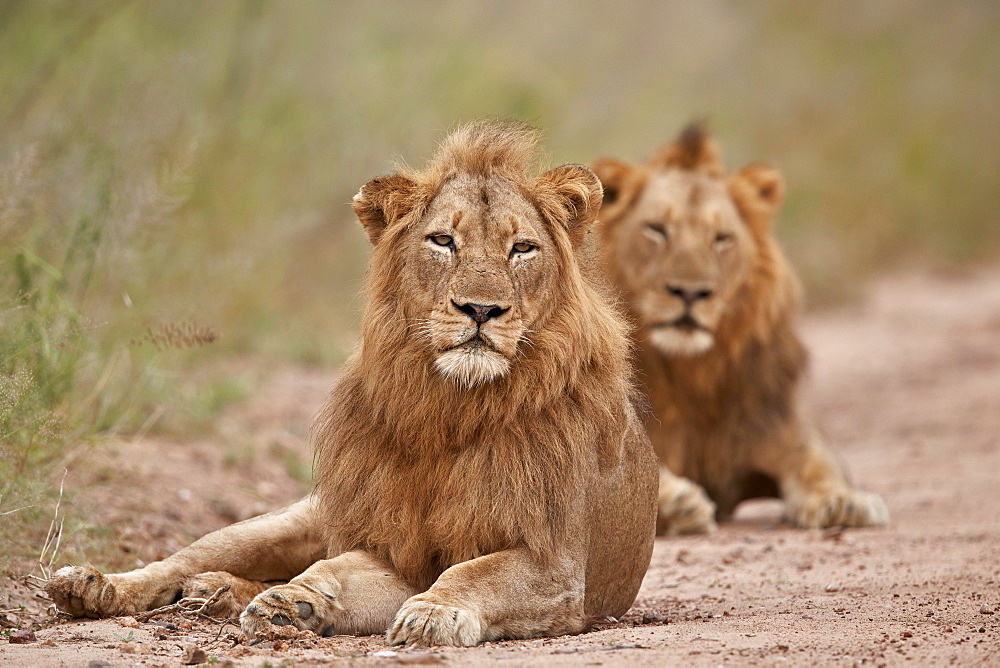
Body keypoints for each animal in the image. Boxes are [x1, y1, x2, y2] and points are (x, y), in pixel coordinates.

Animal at [47, 121, 660, 648]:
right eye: (443, 241)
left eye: (523, 248)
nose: (481, 309)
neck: (452, 405)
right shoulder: (391, 549)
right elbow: (333, 567)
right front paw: (291, 602)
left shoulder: (555, 564)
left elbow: (475, 573)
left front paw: (430, 613)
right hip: (286, 521)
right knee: (182, 560)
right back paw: (95, 586)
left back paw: (218, 593)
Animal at [588, 122, 888, 536]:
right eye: (657, 230)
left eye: (721, 238)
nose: (691, 292)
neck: (694, 375)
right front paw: (676, 505)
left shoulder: (792, 435)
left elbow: (819, 469)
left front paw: (844, 502)